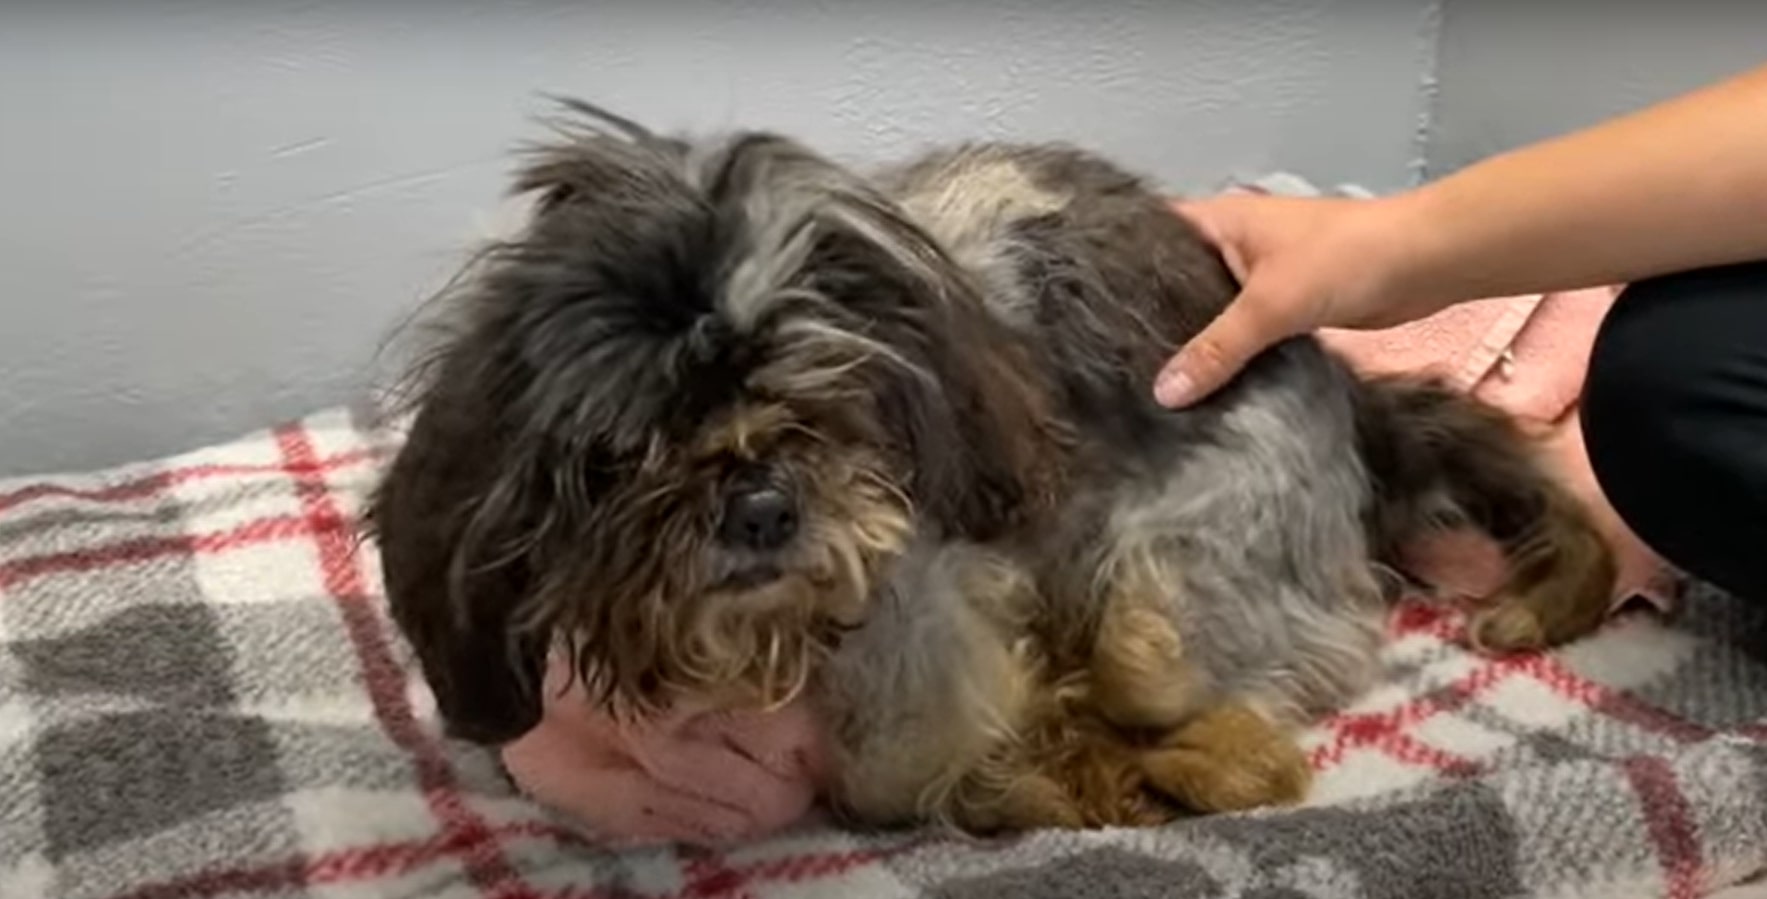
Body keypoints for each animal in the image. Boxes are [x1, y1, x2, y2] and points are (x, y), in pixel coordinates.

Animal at [369, 106, 1618, 833]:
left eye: (825, 403)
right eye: (626, 448)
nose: (762, 504)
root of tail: (1350, 392)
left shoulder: (922, 609)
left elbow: (890, 768)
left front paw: (1036, 764)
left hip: (1169, 600)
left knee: (1238, 724)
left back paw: (1162, 765)